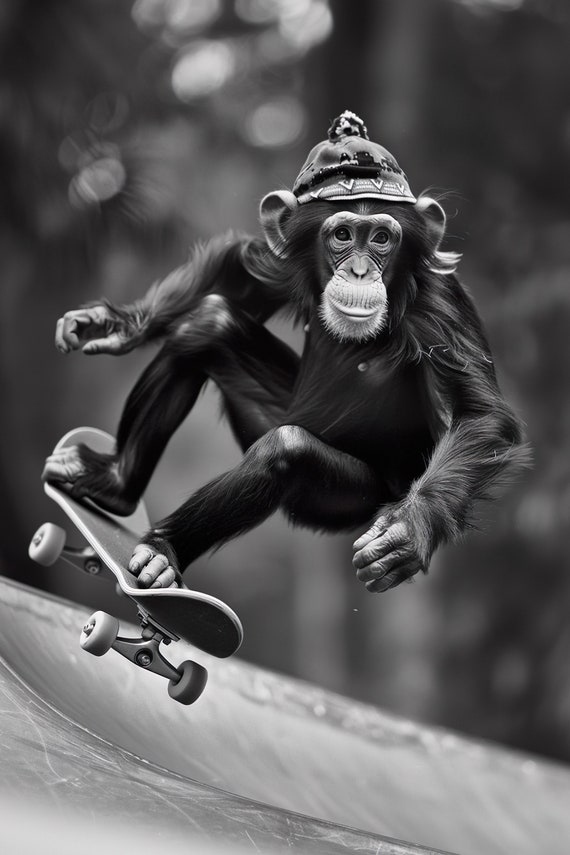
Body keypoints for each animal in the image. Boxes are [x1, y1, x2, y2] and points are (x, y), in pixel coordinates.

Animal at [43, 110, 530, 593]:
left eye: (380, 239)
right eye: (342, 234)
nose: (359, 270)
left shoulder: (439, 300)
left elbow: (477, 414)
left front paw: (408, 531)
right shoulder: (284, 256)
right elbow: (241, 273)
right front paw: (115, 325)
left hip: (347, 501)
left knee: (286, 449)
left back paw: (163, 550)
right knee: (208, 324)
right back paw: (115, 483)